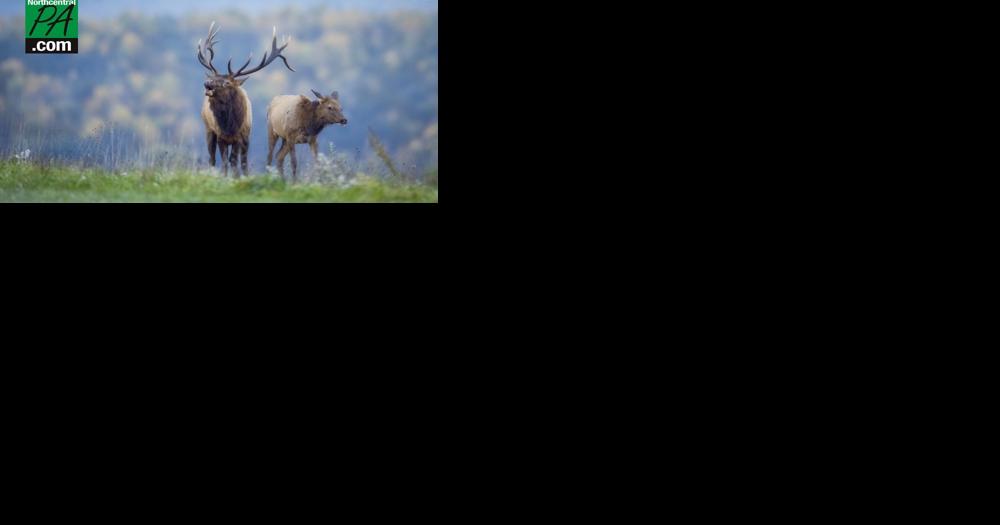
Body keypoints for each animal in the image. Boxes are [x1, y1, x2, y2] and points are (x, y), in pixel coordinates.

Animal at [197, 22, 295, 177]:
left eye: (227, 83)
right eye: (213, 78)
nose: (207, 84)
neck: (230, 126)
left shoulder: (240, 137)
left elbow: (234, 161)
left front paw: (236, 178)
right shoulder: (220, 137)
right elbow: (224, 162)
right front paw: (224, 177)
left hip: (246, 138)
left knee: (243, 160)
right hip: (208, 129)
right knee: (212, 158)